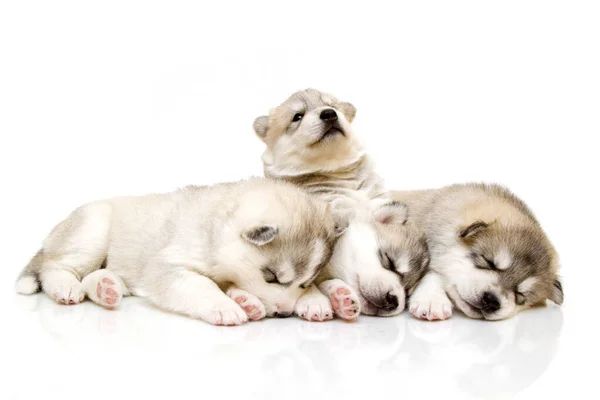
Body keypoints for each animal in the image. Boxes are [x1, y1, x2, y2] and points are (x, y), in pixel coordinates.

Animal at [14, 178, 342, 324]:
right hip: (91, 230)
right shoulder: (168, 265)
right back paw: (66, 287)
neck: (216, 228)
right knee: (54, 267)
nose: (285, 313)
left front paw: (313, 300)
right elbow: (202, 285)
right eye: (272, 277)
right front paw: (226, 306)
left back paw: (107, 287)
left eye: (306, 282)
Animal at [252, 89, 426, 320]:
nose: (329, 114)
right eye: (297, 116)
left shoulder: (378, 197)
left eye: (333, 106)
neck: (338, 174)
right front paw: (315, 300)